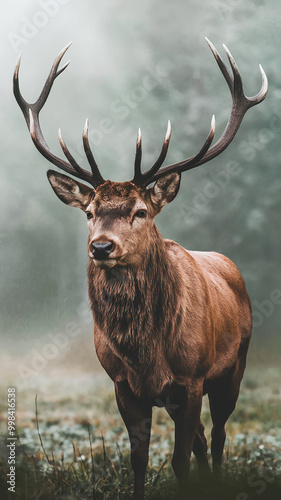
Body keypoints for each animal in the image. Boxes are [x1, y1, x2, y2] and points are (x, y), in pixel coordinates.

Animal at [13, 40, 266, 500]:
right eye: (90, 212)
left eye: (141, 211)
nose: (101, 247)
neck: (147, 355)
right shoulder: (122, 385)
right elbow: (139, 460)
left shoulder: (191, 378)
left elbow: (179, 461)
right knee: (202, 437)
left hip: (233, 366)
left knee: (218, 435)